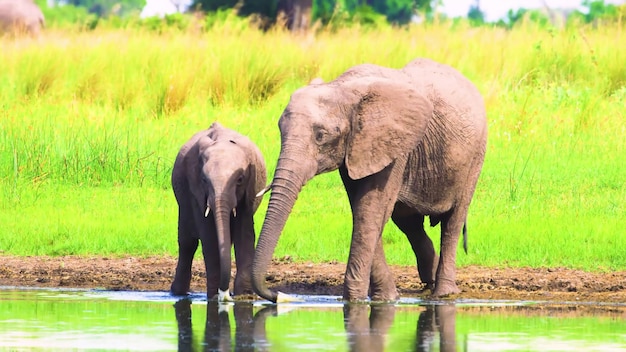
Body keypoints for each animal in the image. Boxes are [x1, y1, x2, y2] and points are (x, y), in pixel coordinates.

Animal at [171, 122, 266, 302]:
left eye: (240, 179)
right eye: (204, 180)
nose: (225, 293)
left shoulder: (250, 188)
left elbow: (244, 234)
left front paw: (244, 297)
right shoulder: (196, 190)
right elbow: (209, 237)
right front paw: (214, 296)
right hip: (183, 202)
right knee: (187, 244)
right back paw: (177, 293)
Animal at [251, 58, 486, 302]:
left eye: (321, 136)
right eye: (280, 130)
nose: (278, 295)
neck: (341, 87)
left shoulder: (392, 145)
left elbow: (370, 210)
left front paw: (355, 301)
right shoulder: (356, 148)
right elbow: (363, 211)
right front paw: (387, 298)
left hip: (475, 157)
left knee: (452, 222)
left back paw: (443, 293)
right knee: (408, 222)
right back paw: (428, 282)